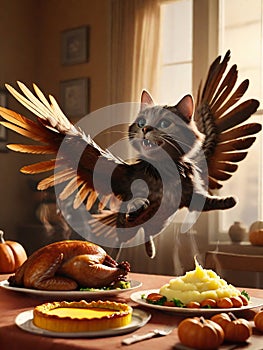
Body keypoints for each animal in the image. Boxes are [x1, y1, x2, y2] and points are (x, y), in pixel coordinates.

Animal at [0, 50, 260, 258]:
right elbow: (131, 200)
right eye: (142, 122)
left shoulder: (188, 194)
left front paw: (229, 200)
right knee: (124, 234)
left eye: (164, 123)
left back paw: (149, 249)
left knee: (145, 233)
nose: (146, 128)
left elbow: (205, 200)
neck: (163, 170)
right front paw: (139, 201)